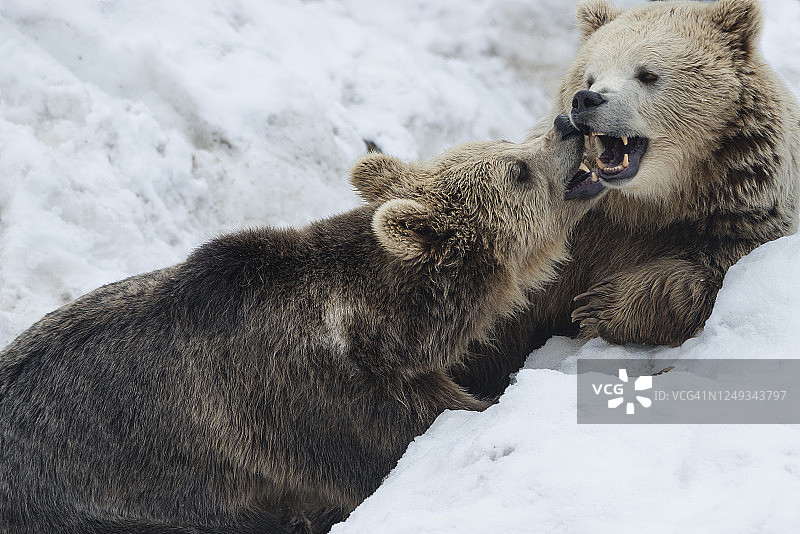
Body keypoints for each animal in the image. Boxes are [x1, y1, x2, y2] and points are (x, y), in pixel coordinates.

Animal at [0, 124, 598, 533]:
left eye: (511, 142)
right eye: (517, 169)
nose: (567, 124)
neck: (384, 330)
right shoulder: (320, 406)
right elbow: (414, 436)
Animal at [453, 0, 800, 398]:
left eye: (647, 74)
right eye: (589, 76)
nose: (586, 100)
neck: (648, 205)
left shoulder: (739, 215)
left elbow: (707, 274)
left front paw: (601, 304)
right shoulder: (575, 238)